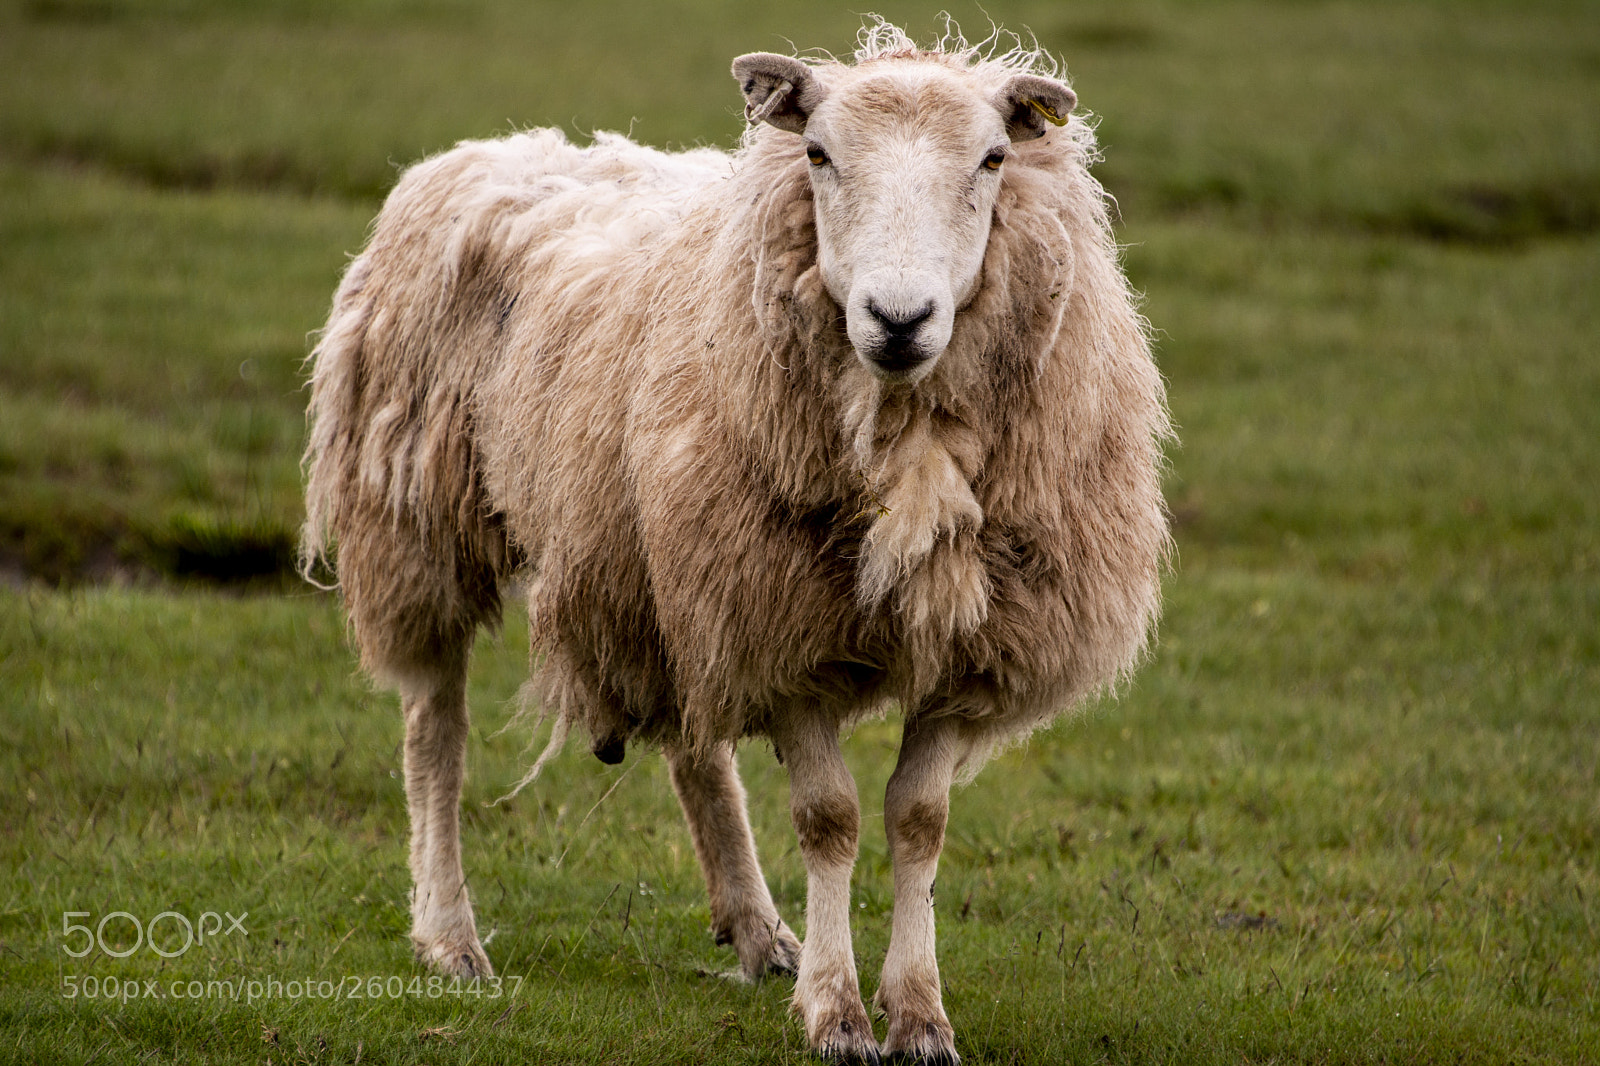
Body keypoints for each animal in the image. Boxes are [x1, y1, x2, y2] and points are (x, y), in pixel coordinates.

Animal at [301, 21, 1170, 1064]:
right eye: (818, 154)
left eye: (994, 159)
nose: (899, 320)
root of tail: (488, 149)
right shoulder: (781, 632)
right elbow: (830, 817)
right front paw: (837, 1013)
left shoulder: (962, 647)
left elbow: (919, 820)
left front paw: (918, 1013)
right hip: (421, 517)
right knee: (435, 728)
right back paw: (450, 934)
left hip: (670, 566)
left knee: (695, 746)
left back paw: (756, 928)